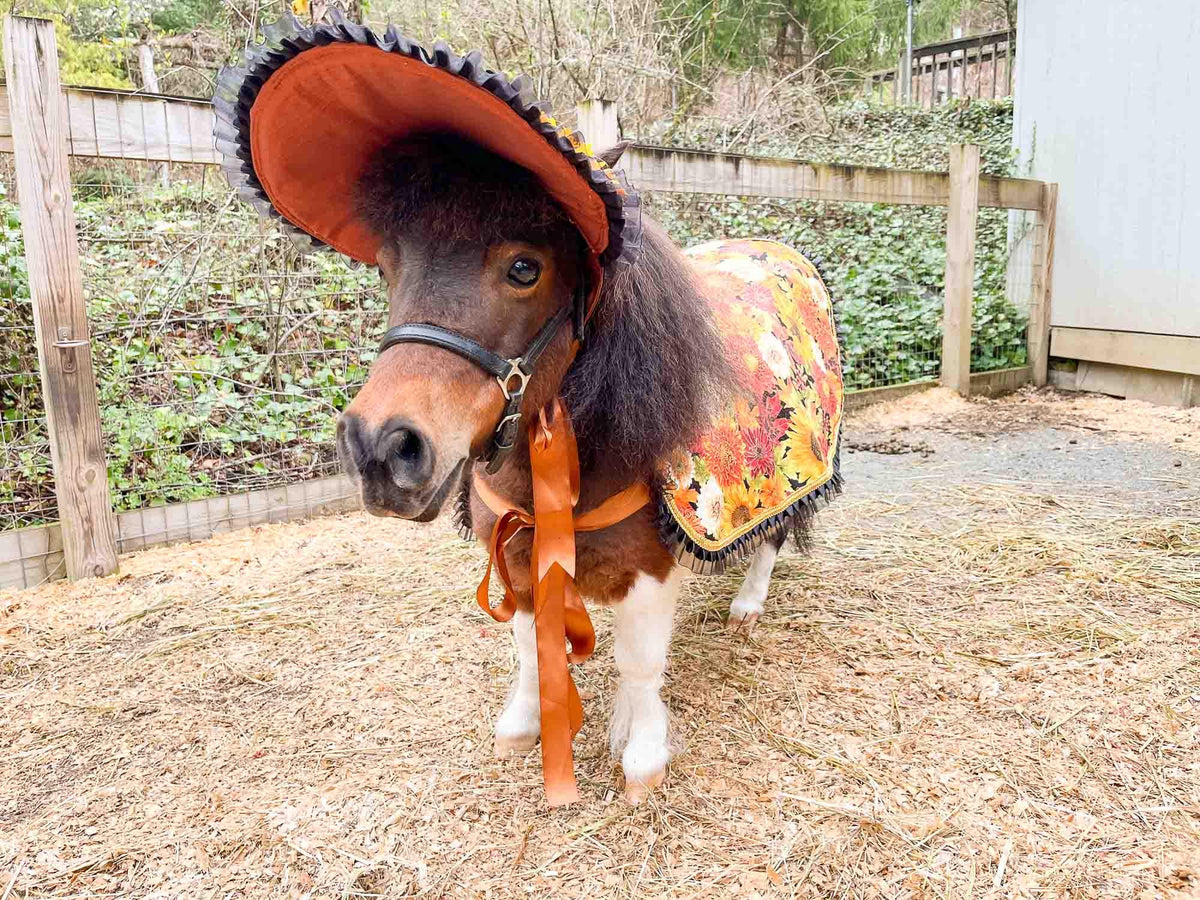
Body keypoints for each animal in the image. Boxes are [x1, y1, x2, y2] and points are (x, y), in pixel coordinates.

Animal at [335, 135, 839, 803]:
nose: (380, 449)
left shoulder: (649, 568)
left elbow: (640, 663)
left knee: (774, 534)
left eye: (525, 268)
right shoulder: (517, 556)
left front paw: (642, 758)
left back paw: (747, 606)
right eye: (388, 267)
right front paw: (523, 726)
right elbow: (530, 651)